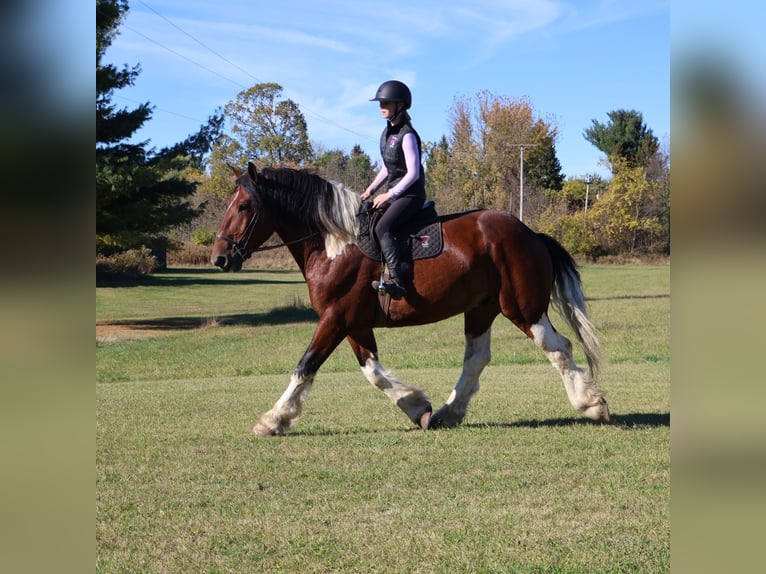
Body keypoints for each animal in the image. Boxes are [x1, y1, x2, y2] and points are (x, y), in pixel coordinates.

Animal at [211, 162, 609, 436]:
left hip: (523, 309)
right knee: (477, 358)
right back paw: (449, 412)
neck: (336, 245)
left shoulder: (335, 318)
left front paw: (274, 419)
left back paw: (591, 403)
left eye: (244, 206)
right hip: (481, 310)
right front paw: (417, 406)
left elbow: (305, 366)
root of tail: (531, 234)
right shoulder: (353, 323)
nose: (220, 258)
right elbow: (372, 371)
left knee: (558, 347)